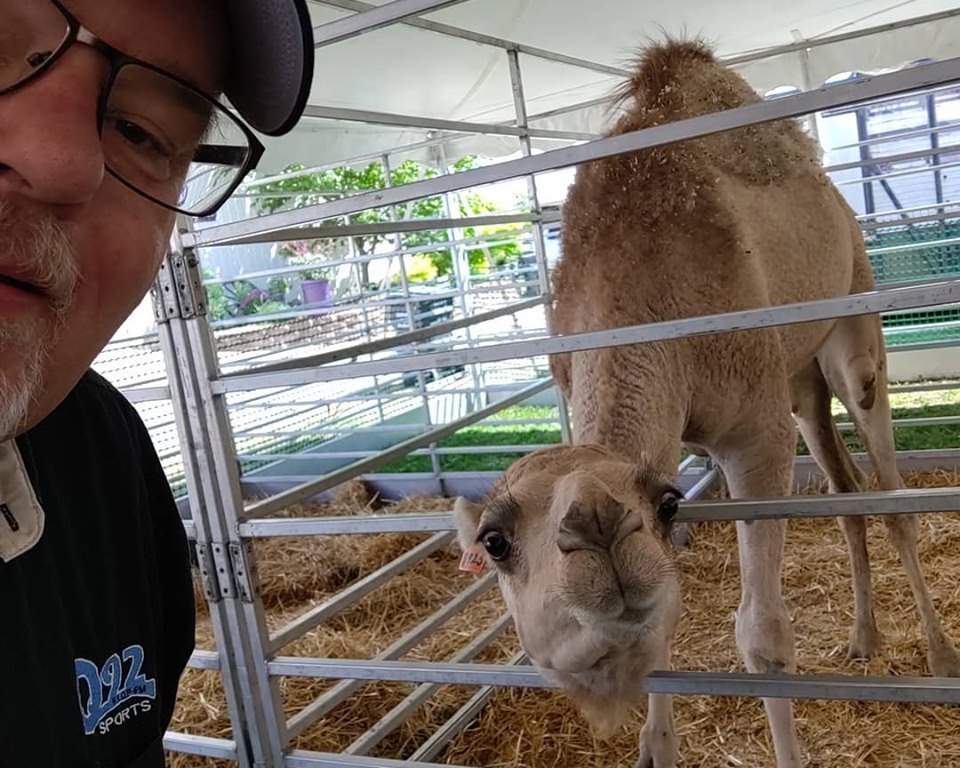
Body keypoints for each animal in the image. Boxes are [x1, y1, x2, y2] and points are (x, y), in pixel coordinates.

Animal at [453, 39, 960, 767]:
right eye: (494, 541)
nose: (596, 523)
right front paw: (654, 746)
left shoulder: (755, 433)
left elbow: (762, 637)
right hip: (798, 379)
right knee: (846, 490)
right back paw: (864, 639)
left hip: (854, 322)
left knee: (891, 490)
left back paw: (941, 656)